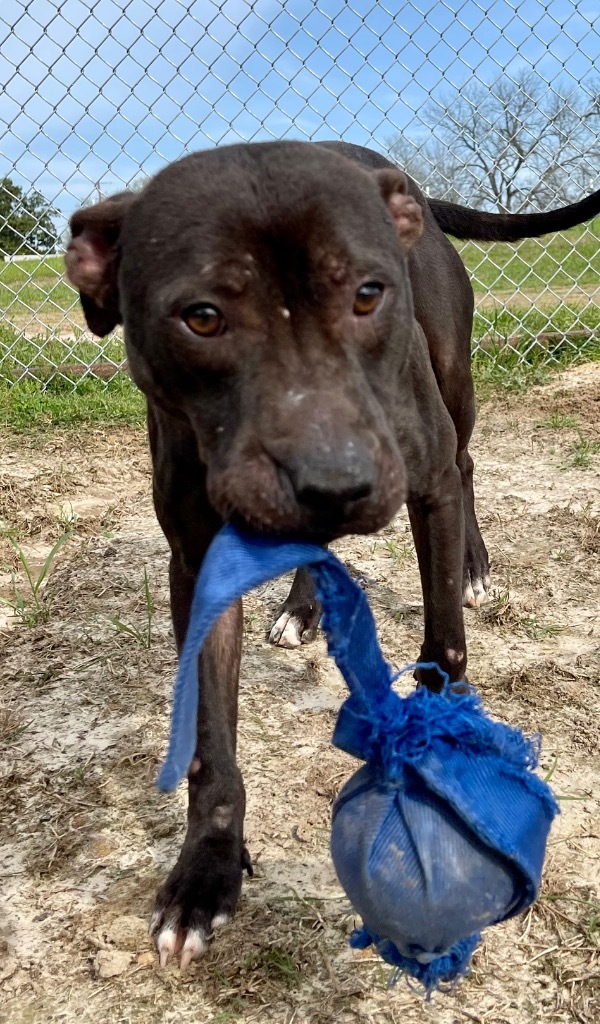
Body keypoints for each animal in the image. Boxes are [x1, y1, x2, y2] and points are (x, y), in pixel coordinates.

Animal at [65, 140, 597, 962]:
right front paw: (206, 871)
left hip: (455, 390)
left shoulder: (427, 485)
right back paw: (303, 607)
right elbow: (210, 744)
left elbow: (445, 639)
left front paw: (441, 754)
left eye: (368, 294)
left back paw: (474, 569)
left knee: (468, 463)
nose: (335, 479)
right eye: (202, 317)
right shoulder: (199, 567)